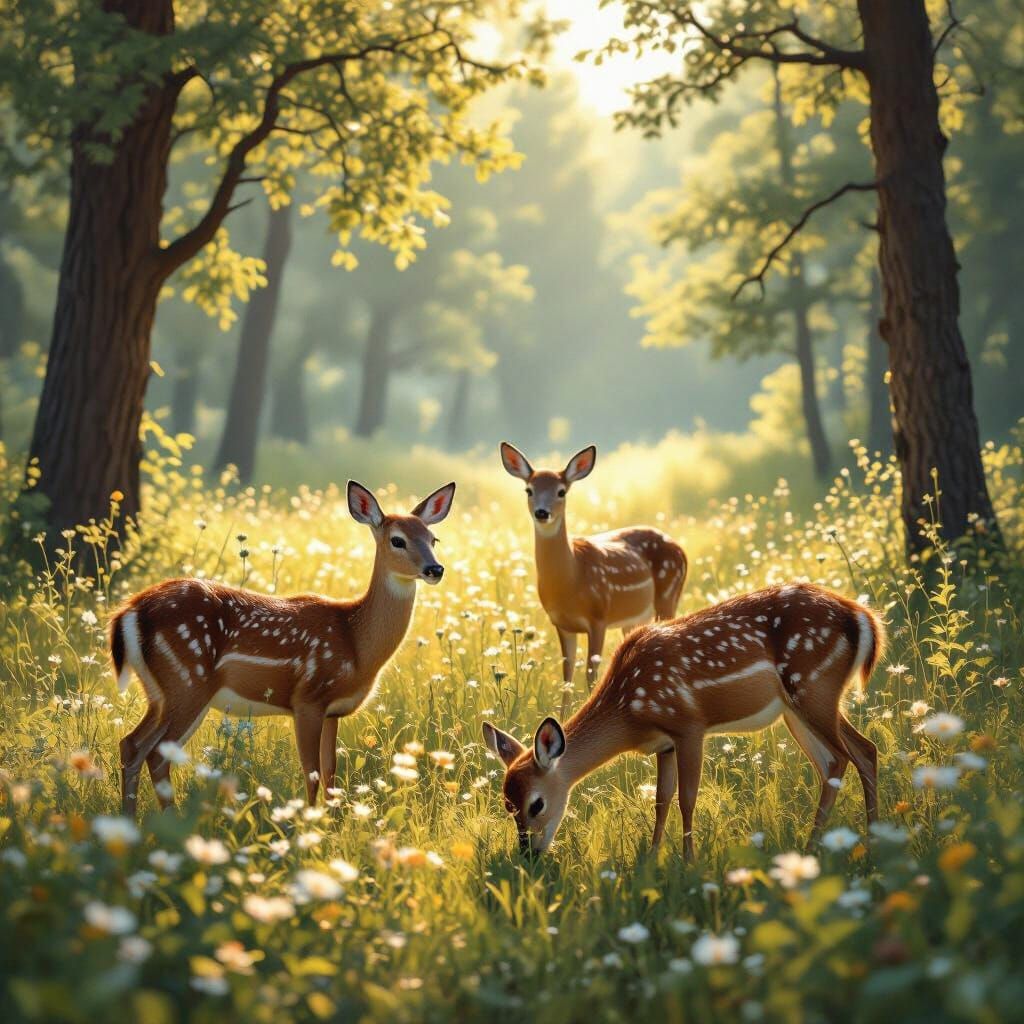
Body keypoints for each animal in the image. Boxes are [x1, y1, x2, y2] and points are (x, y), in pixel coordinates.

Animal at [110, 480, 455, 817]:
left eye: (433, 538)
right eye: (397, 540)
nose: (435, 569)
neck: (356, 643)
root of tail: (130, 610)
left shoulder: (333, 710)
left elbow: (331, 772)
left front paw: (331, 824)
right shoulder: (308, 699)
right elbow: (312, 772)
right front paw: (309, 823)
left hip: (160, 692)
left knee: (131, 745)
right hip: (188, 681)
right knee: (155, 754)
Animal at [483, 582, 883, 859]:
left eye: (536, 804)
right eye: (506, 806)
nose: (529, 854)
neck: (628, 709)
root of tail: (862, 617)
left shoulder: (689, 725)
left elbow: (687, 799)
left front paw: (689, 862)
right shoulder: (664, 744)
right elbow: (661, 799)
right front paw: (652, 857)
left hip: (813, 687)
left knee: (854, 753)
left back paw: (864, 843)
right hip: (797, 709)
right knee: (841, 759)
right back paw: (827, 844)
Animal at [500, 442, 687, 717]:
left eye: (561, 491)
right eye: (529, 489)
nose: (542, 513)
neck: (571, 580)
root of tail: (680, 548)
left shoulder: (599, 616)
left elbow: (591, 674)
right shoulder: (561, 624)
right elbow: (567, 676)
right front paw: (563, 717)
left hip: (669, 593)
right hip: (634, 618)